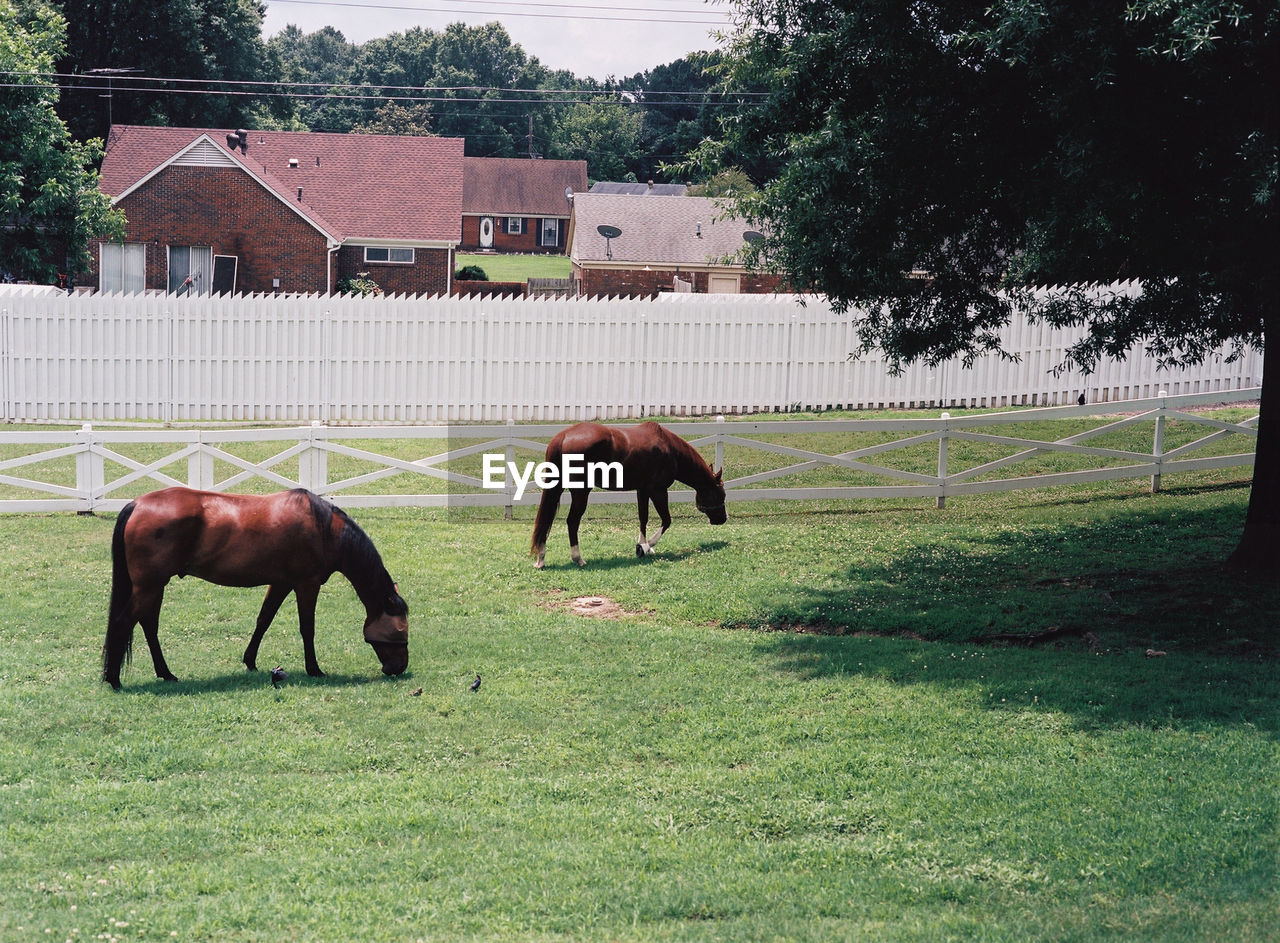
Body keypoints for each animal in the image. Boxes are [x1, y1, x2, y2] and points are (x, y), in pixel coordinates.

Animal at [102, 488, 407, 685]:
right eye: (399, 631)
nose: (398, 668)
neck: (325, 529)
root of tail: (136, 504)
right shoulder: (306, 584)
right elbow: (307, 628)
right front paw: (314, 669)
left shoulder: (281, 583)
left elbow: (264, 620)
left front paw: (250, 660)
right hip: (149, 587)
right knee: (124, 622)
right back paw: (114, 679)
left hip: (153, 587)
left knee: (148, 626)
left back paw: (165, 673)